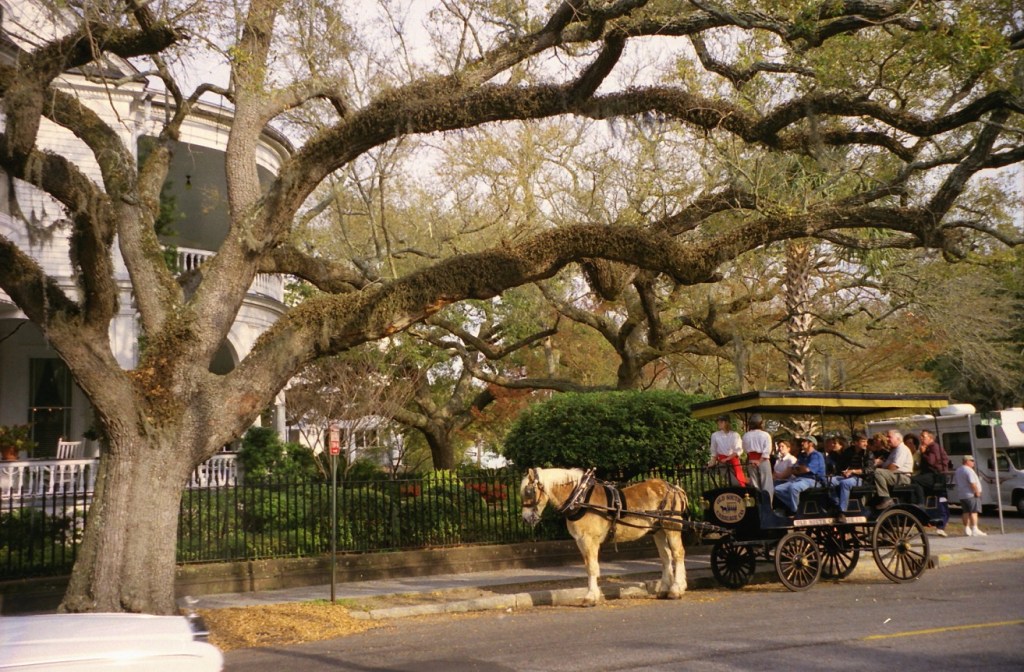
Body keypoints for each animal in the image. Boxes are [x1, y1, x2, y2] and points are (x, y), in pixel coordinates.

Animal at [520, 467, 690, 607]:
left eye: (529, 491)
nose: (526, 518)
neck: (580, 499)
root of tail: (674, 488)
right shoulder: (580, 541)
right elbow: (589, 567)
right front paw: (593, 594)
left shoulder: (589, 540)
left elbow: (592, 567)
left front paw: (590, 597)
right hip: (659, 530)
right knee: (666, 557)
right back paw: (664, 589)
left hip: (672, 526)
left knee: (678, 553)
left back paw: (676, 589)